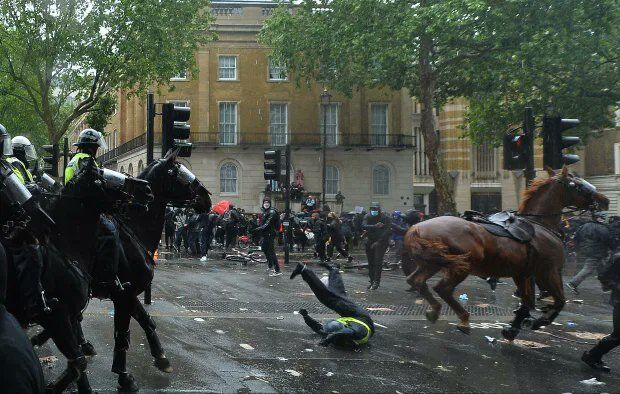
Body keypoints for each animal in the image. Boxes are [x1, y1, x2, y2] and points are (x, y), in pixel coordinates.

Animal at [402, 166, 612, 338]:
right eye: (579, 185)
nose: (605, 200)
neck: (539, 224)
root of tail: (416, 228)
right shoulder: (549, 271)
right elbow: (560, 301)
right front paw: (538, 322)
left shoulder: (523, 274)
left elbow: (527, 302)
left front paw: (513, 328)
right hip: (461, 265)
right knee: (442, 288)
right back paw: (463, 319)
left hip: (432, 263)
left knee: (416, 280)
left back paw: (435, 310)